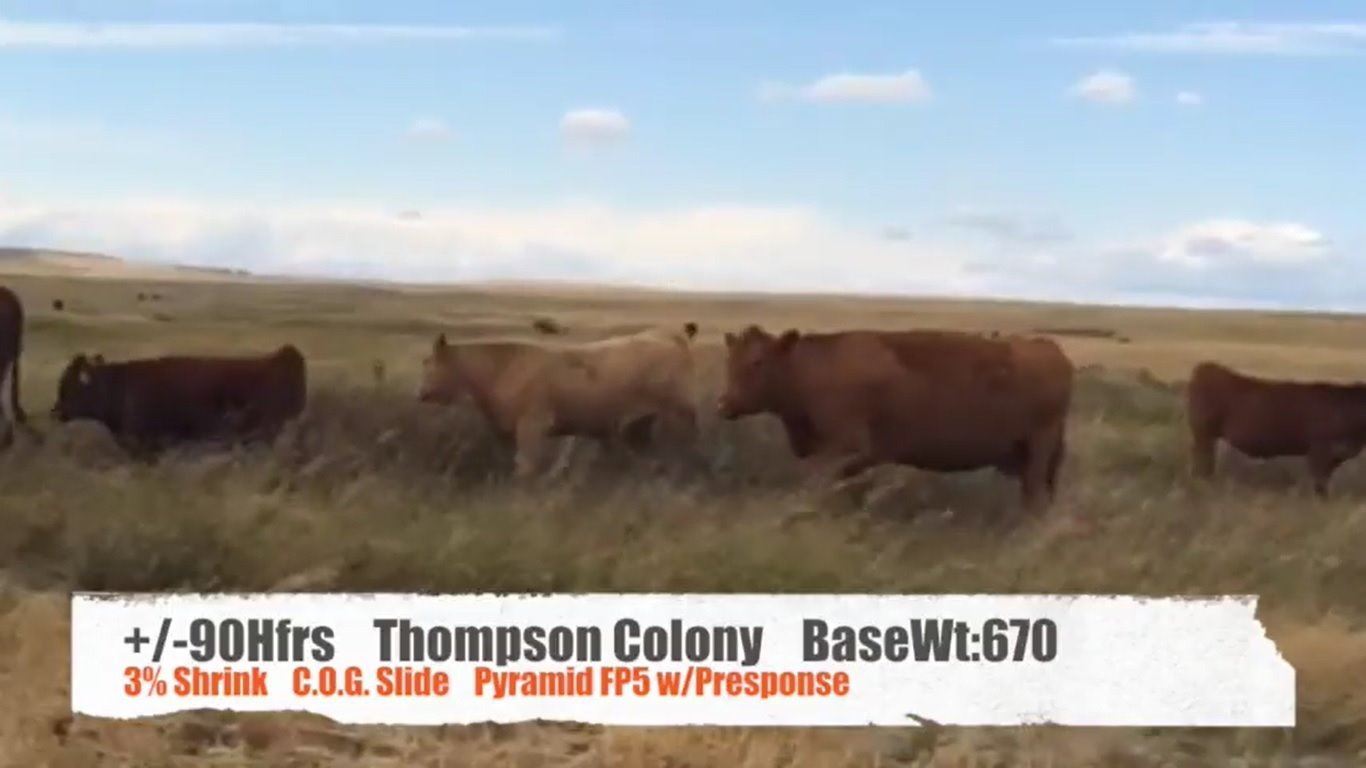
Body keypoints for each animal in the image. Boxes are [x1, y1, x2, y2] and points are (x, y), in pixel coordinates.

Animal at [418, 324, 699, 475]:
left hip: (680, 414)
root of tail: (666, 333)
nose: (420, 393)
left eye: (428, 362)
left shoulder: (532, 425)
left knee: (683, 451)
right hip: (640, 423)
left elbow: (526, 467)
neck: (503, 367)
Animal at [717, 326, 1074, 509]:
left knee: (1035, 494)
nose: (723, 404)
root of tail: (1048, 348)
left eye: (758, 361)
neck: (811, 369)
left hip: (1040, 444)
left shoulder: (847, 449)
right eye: (729, 360)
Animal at [1188, 361, 1366, 496]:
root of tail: (1206, 367)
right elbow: (1320, 485)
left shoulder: (1333, 457)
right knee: (1202, 463)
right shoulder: (1319, 452)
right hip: (1204, 434)